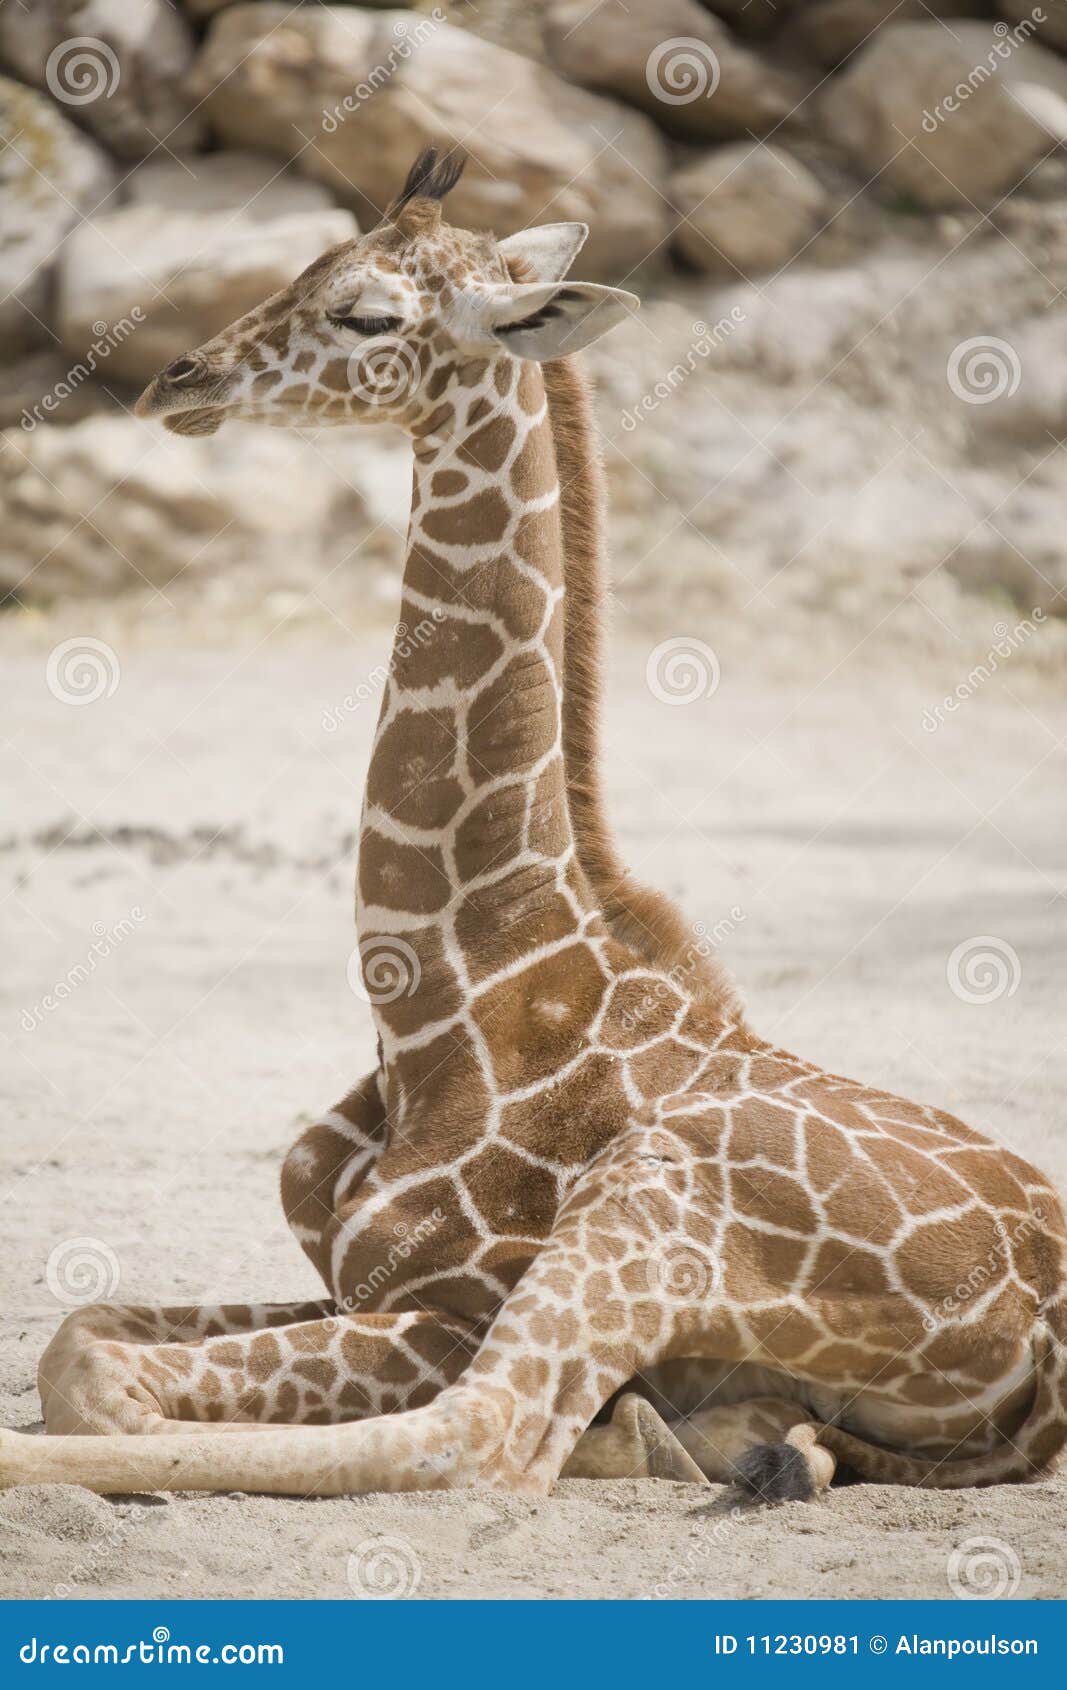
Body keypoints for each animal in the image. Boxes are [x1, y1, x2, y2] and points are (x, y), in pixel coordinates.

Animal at [7, 150, 1066, 1505]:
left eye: (367, 315)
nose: (177, 380)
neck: (452, 997)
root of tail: (1040, 1327)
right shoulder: (341, 1278)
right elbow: (86, 1331)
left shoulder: (447, 1305)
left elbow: (103, 1376)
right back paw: (725, 1433)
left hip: (650, 1197)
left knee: (486, 1435)